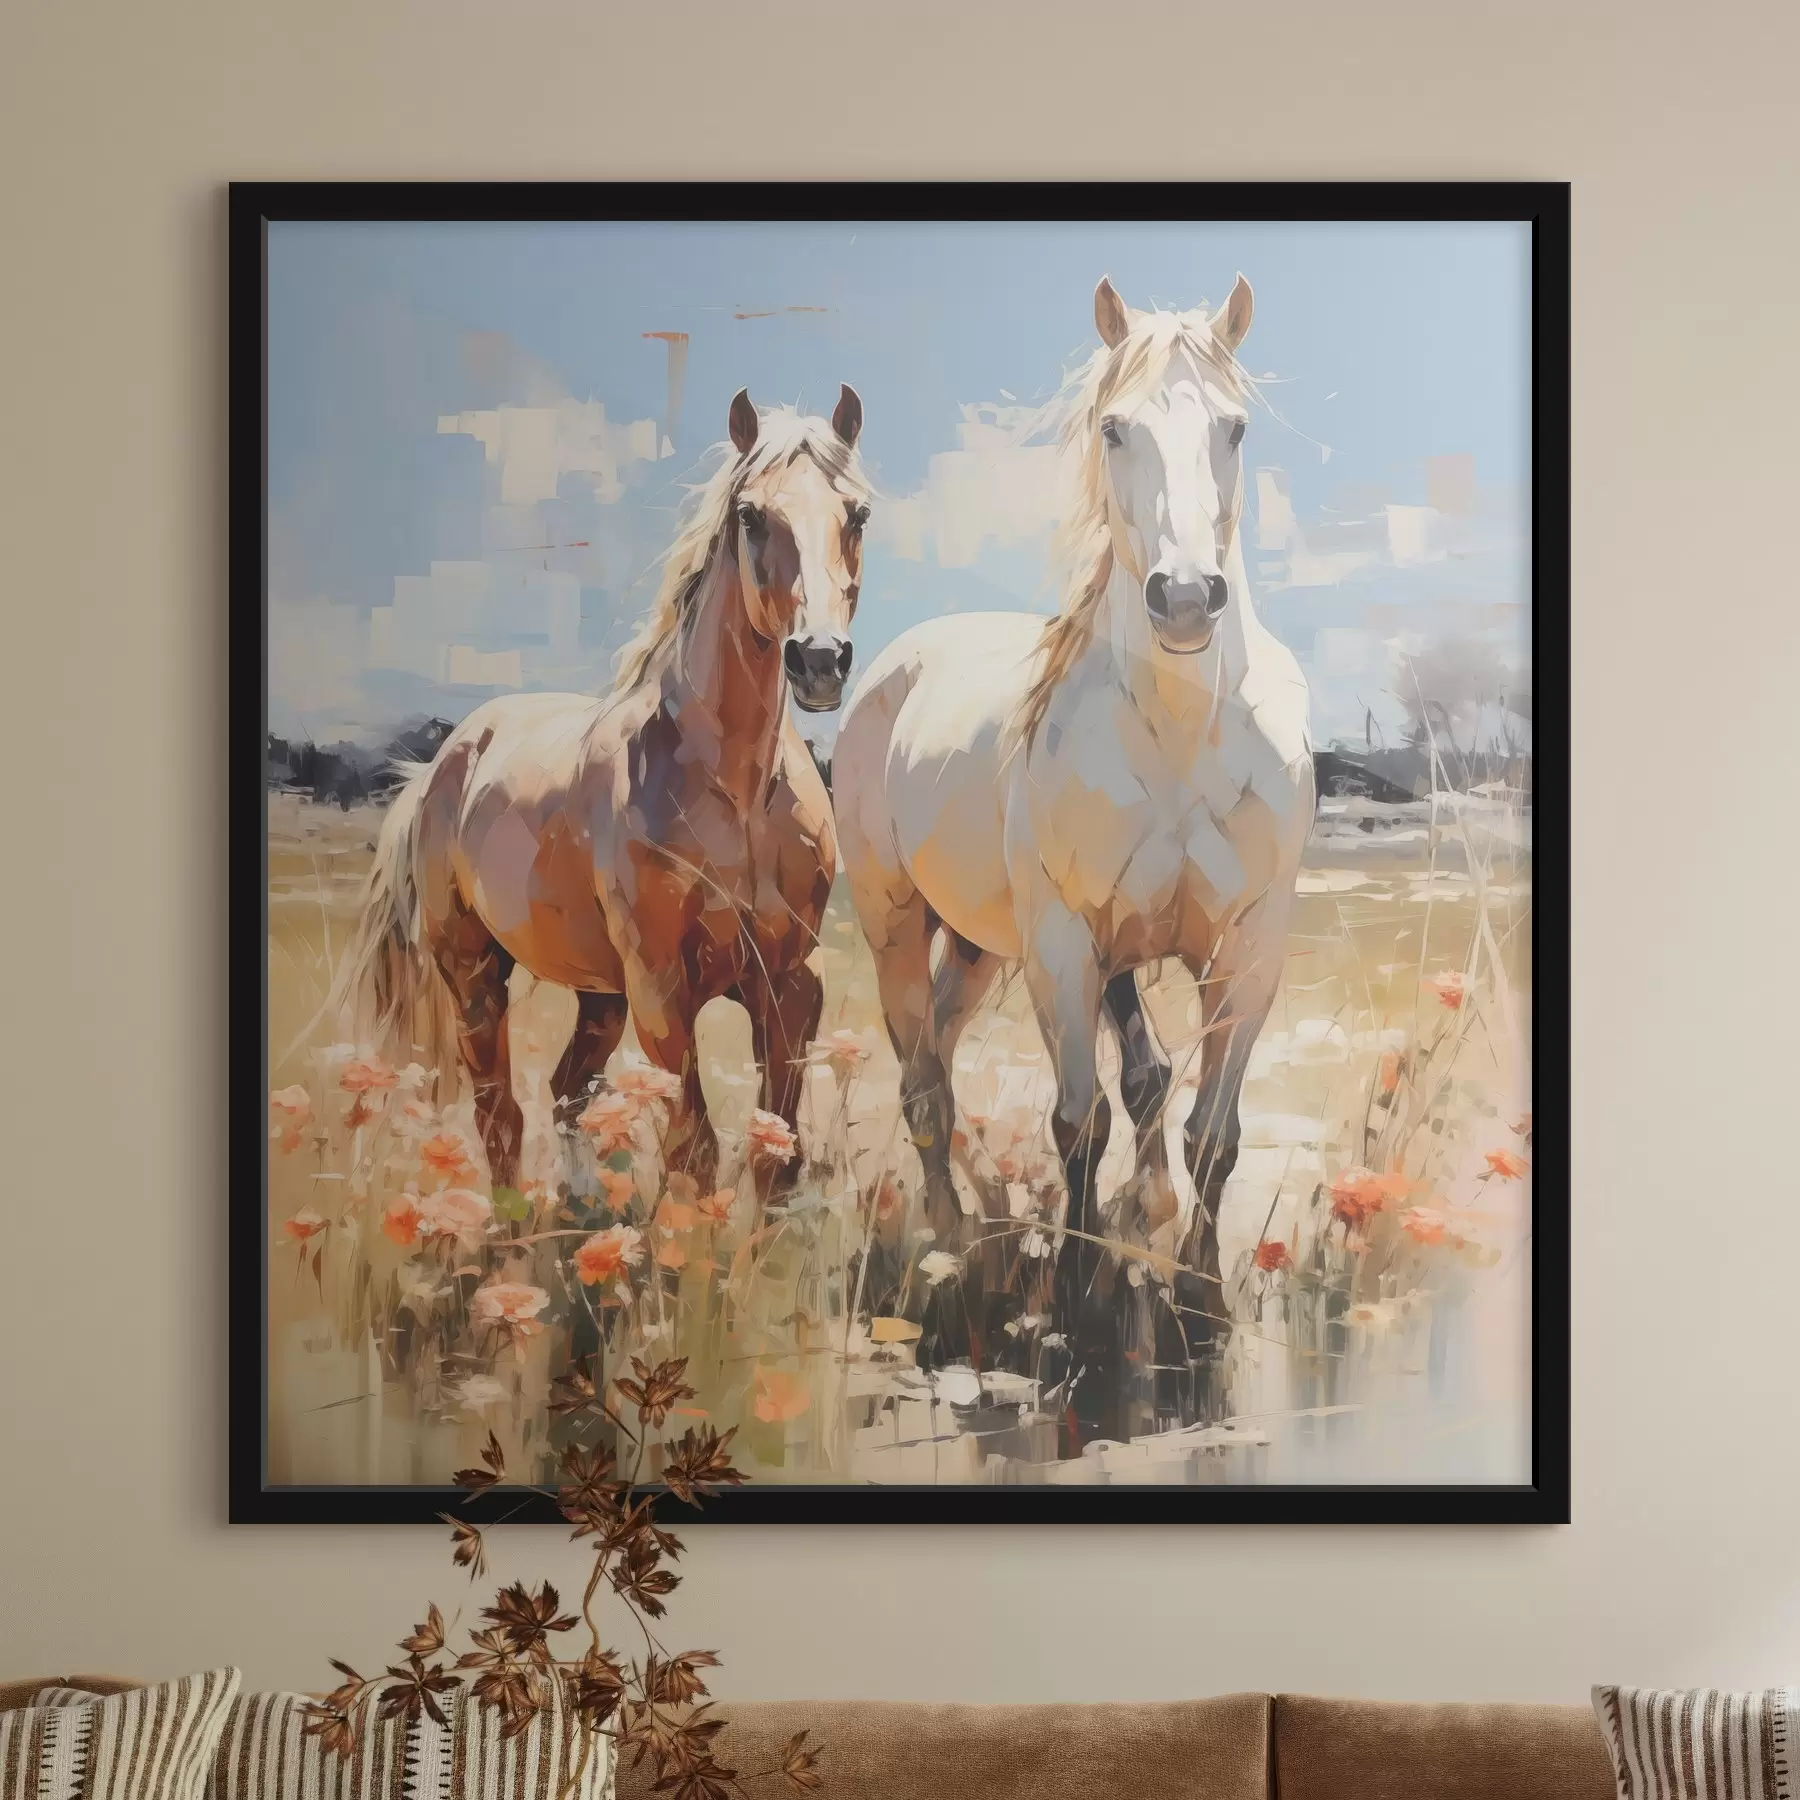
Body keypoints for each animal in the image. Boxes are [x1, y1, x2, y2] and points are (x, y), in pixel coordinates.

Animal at [332, 385, 872, 1197]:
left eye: (858, 513)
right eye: (750, 515)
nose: (819, 661)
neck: (737, 794)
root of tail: (442, 765)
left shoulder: (789, 988)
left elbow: (777, 1156)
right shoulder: (661, 991)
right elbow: (693, 1154)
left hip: (599, 995)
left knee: (565, 1092)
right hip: (475, 976)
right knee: (501, 1117)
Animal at [832, 277, 1313, 1441]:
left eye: (1235, 428)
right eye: (1113, 428)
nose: (1183, 600)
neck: (1181, 731)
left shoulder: (1250, 950)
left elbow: (1208, 1132)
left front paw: (1198, 1301)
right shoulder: (1063, 945)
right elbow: (1078, 1120)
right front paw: (1084, 1310)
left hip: (978, 949)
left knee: (962, 1055)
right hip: (897, 922)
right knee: (923, 1085)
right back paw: (952, 1245)